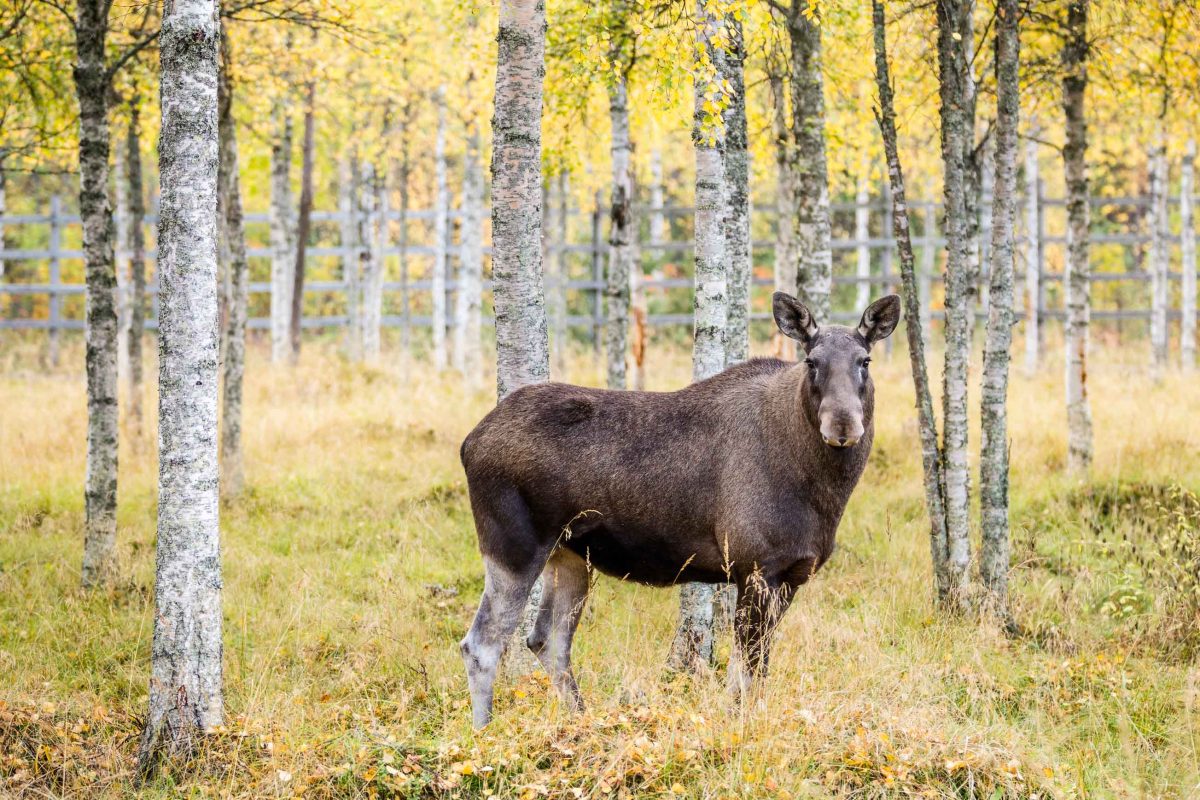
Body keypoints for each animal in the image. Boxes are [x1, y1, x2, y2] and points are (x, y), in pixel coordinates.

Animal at [458, 292, 901, 727]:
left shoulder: (789, 575)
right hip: (514, 546)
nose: (843, 426)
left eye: (864, 360)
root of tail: (469, 442)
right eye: (812, 361)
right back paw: (485, 732)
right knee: (481, 644)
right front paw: (737, 727)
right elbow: (744, 673)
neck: (825, 494)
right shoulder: (756, 566)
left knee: (547, 640)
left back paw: (583, 723)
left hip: (569, 555)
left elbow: (756, 671)